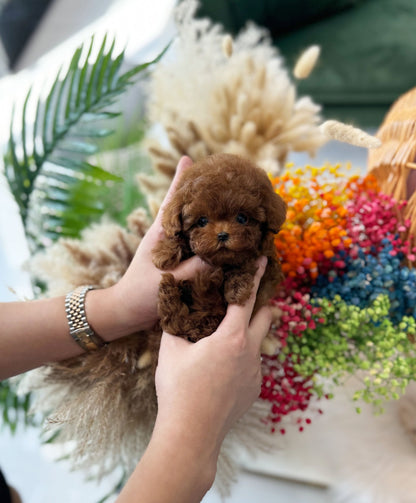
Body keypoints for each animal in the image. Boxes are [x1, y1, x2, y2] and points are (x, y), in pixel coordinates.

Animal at [152, 154, 286, 342]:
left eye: (242, 218)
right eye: (202, 221)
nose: (222, 235)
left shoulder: (267, 262)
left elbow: (246, 261)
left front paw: (237, 287)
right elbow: (176, 238)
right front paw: (164, 252)